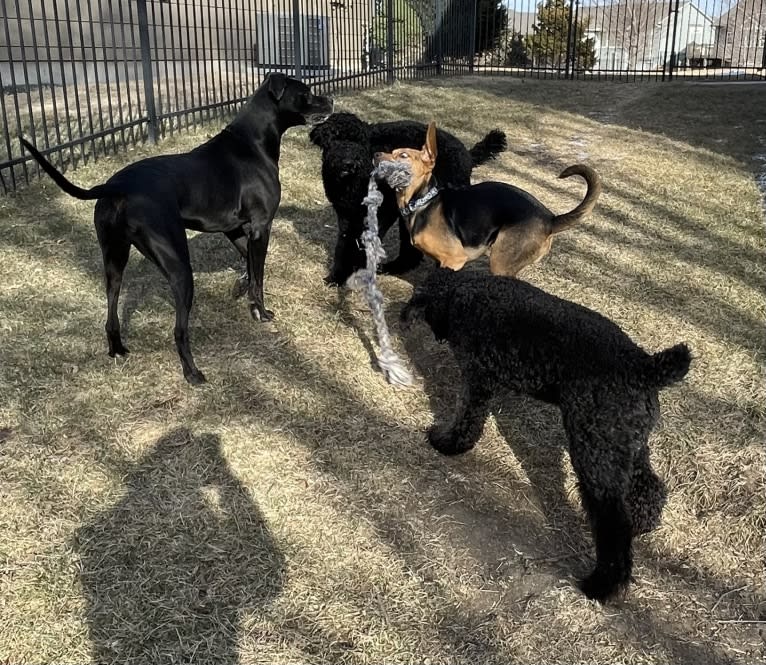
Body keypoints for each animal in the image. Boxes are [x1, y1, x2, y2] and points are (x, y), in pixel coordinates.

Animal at [20, 72, 332, 384]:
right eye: (306, 92)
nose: (330, 99)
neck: (252, 143)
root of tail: (116, 187)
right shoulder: (260, 226)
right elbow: (259, 276)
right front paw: (261, 311)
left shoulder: (233, 228)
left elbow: (248, 263)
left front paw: (240, 287)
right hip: (179, 267)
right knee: (179, 330)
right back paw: (193, 373)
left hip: (114, 260)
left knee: (111, 309)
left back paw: (117, 348)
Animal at [308, 111, 508, 286]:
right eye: (332, 139)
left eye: (359, 140)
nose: (348, 163)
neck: (351, 182)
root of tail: (467, 155)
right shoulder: (345, 214)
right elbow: (343, 245)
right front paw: (337, 276)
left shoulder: (382, 213)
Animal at [376, 122, 604, 274]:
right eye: (391, 150)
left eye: (403, 155)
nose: (376, 155)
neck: (423, 201)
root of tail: (550, 219)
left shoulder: (453, 260)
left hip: (500, 262)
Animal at [404, 268, 692, 600]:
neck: (464, 292)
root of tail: (645, 366)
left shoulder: (477, 380)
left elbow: (466, 418)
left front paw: (448, 443)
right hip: (626, 446)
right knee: (649, 487)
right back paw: (642, 524)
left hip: (595, 455)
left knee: (613, 525)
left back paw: (601, 585)